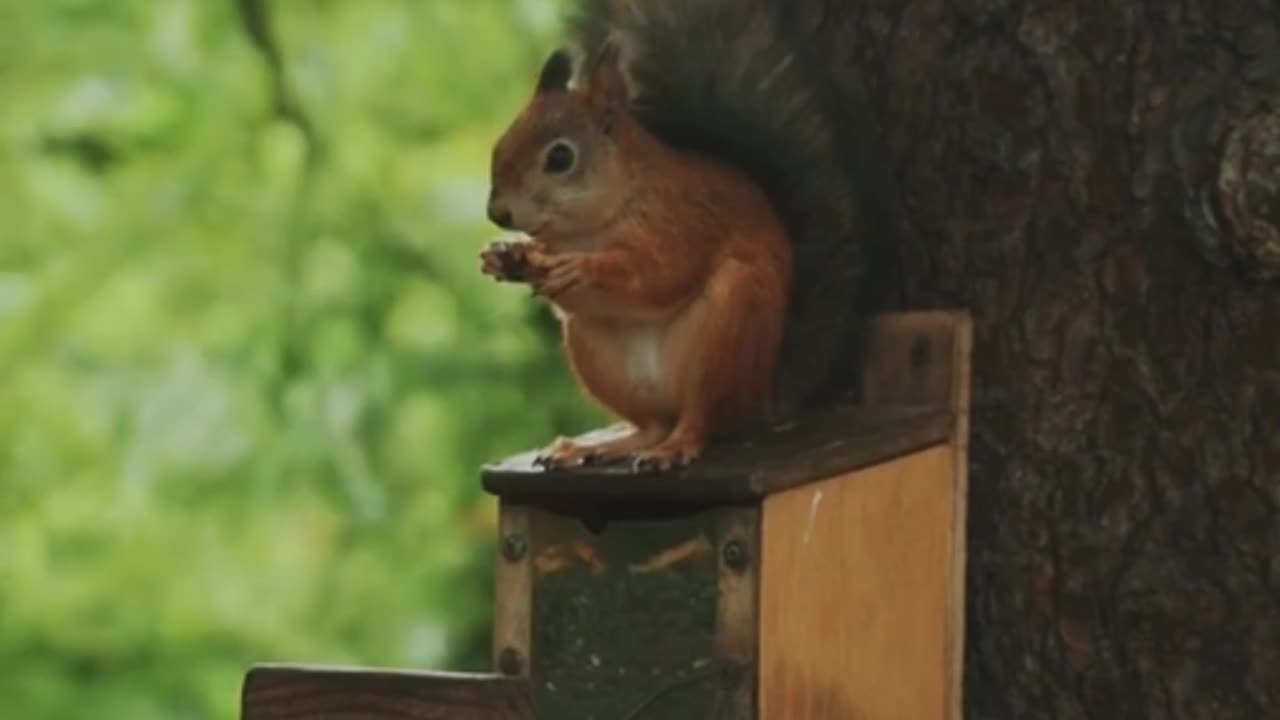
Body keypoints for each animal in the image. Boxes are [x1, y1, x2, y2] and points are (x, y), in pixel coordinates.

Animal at [481, 0, 880, 471]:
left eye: (560, 158)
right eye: (500, 145)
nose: (497, 212)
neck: (590, 226)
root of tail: (762, 397)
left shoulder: (682, 224)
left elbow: (662, 272)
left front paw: (584, 266)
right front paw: (508, 258)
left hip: (727, 330)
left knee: (700, 419)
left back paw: (675, 447)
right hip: (595, 353)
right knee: (651, 424)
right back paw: (594, 446)